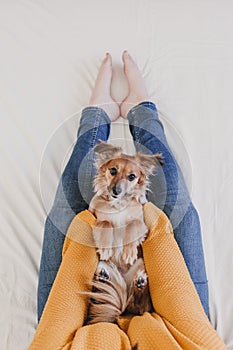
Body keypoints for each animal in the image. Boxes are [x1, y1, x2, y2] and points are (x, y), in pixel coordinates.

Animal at [85, 141, 162, 324]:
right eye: (113, 170)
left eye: (132, 177)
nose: (116, 191)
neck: (118, 205)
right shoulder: (95, 216)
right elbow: (106, 223)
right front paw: (106, 248)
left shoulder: (141, 224)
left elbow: (131, 225)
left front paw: (128, 252)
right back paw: (103, 275)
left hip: (140, 264)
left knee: (140, 304)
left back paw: (140, 283)